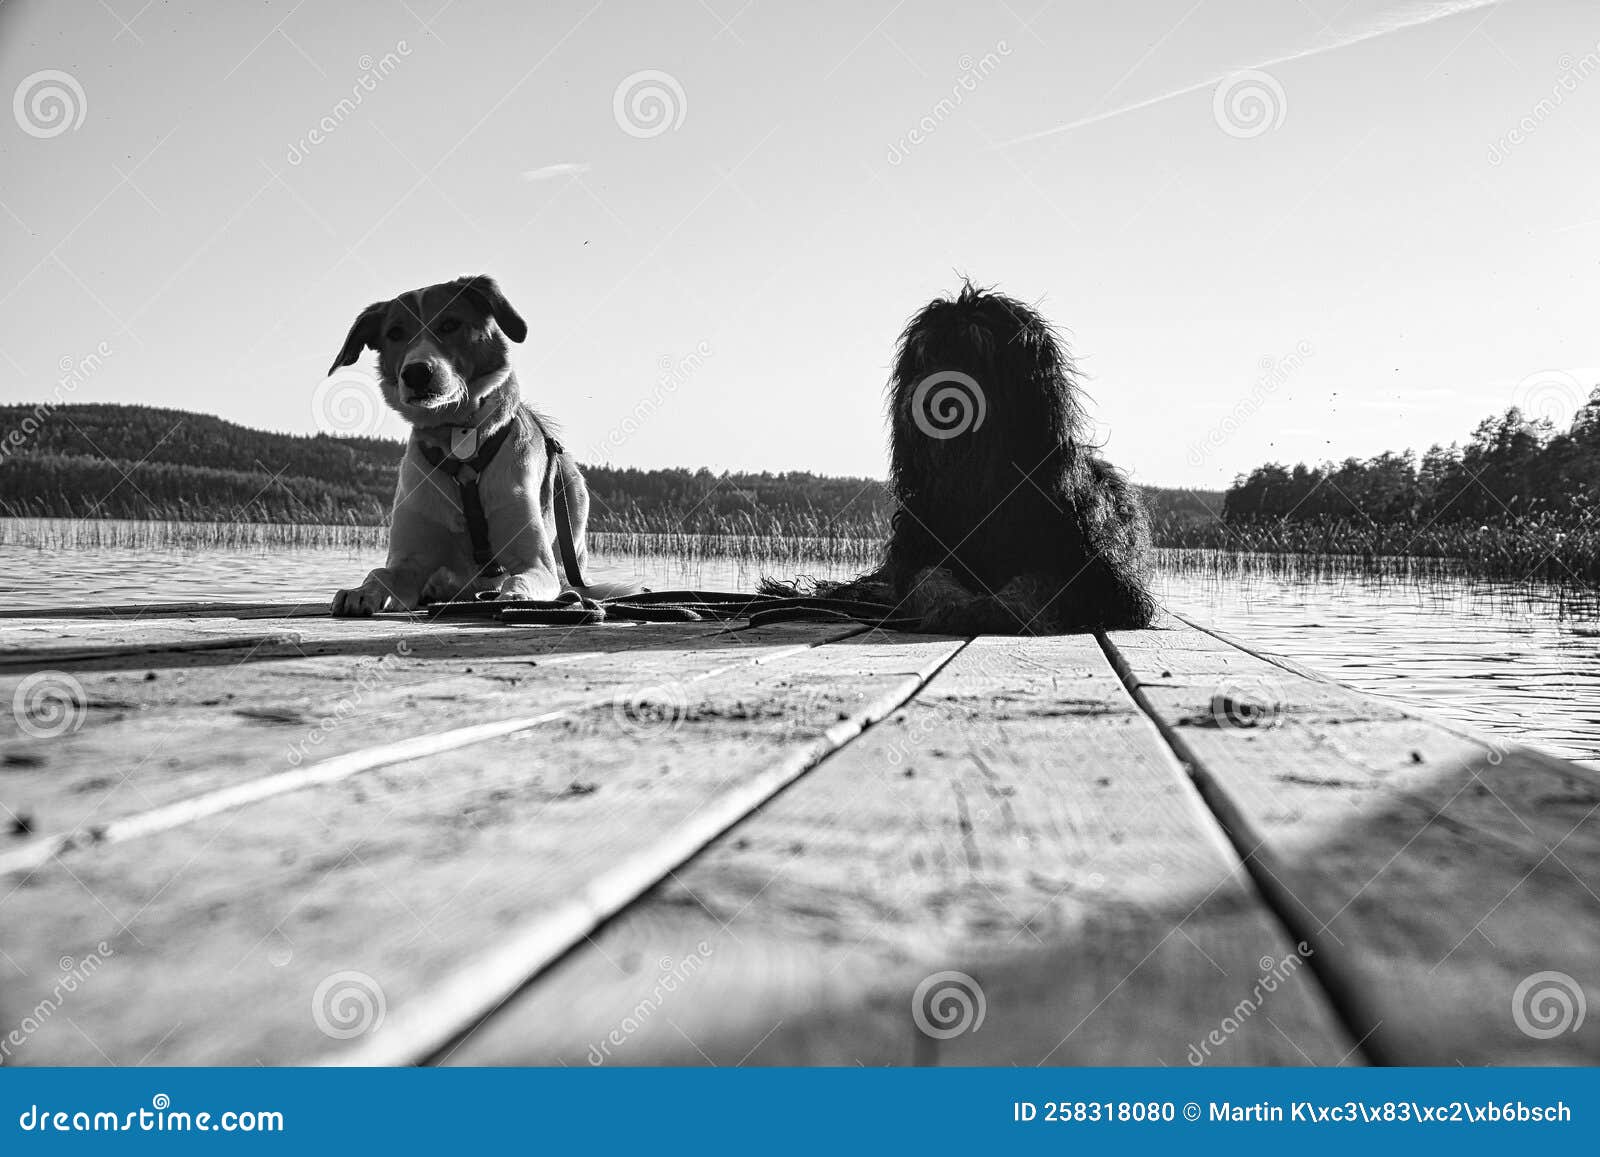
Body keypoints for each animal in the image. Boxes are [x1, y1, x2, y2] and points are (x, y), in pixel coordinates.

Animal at [774, 284, 1152, 636]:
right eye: (925, 354)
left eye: (976, 351)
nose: (929, 400)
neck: (977, 484)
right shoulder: (919, 545)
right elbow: (927, 578)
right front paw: (952, 604)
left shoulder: (1100, 578)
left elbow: (1042, 581)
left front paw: (1000, 606)